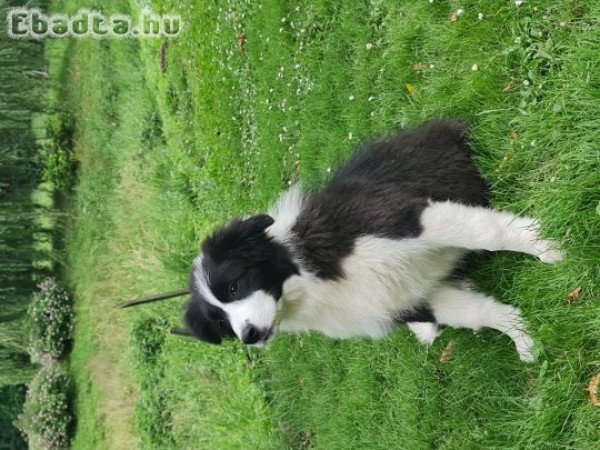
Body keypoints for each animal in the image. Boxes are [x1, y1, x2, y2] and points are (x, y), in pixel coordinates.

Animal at [184, 120, 564, 362]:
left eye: (234, 286)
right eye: (220, 324)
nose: (248, 336)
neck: (309, 279)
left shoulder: (404, 220)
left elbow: (489, 232)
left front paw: (547, 246)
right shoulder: (410, 299)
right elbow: (481, 313)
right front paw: (524, 338)